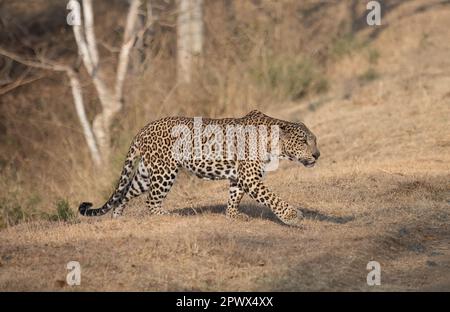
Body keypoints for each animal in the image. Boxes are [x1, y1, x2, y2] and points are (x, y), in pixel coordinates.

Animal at [80, 109, 320, 227]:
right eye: (304, 141)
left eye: (315, 141)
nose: (317, 155)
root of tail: (143, 129)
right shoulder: (250, 177)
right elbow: (272, 198)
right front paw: (292, 216)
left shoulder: (240, 177)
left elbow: (234, 197)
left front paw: (232, 215)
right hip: (165, 171)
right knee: (151, 201)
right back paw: (168, 216)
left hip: (147, 173)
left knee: (125, 192)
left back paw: (118, 218)